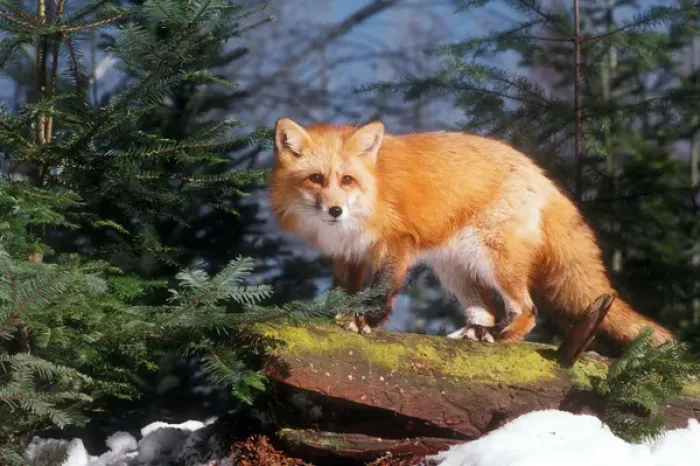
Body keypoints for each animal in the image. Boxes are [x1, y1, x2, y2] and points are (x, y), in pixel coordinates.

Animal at [268, 117, 675, 352]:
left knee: (527, 310)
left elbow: (380, 290)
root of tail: (541, 175)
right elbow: (341, 292)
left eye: (347, 180)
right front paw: (329, 317)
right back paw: (474, 334)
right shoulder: (347, 255)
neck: (374, 191)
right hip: (457, 272)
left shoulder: (396, 245)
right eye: (316, 178)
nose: (335, 211)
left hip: (494, 259)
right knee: (488, 312)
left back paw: (498, 337)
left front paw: (363, 321)